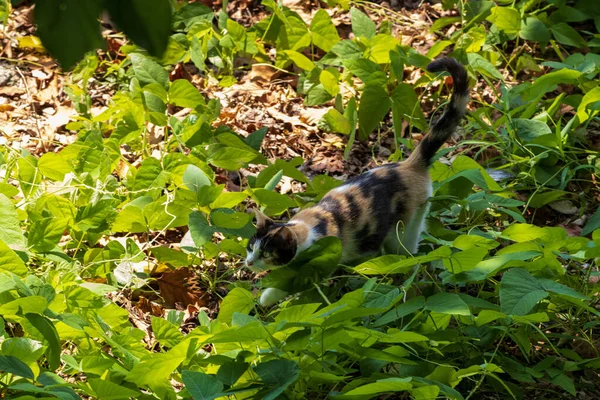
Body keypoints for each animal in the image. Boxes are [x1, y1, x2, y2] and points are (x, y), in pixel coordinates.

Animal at [244, 57, 468, 306]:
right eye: (250, 247)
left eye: (266, 254)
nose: (249, 262)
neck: (306, 227)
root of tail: (410, 164)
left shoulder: (321, 260)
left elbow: (293, 282)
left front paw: (268, 298)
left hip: (405, 228)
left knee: (409, 254)